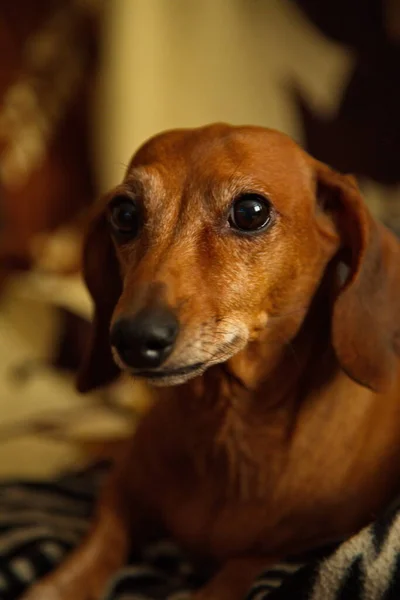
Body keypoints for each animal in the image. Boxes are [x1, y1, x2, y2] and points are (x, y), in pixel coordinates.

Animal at [22, 124, 400, 596]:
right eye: (124, 213)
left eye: (251, 212)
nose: (135, 338)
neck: (226, 428)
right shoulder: (120, 496)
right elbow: (90, 553)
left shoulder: (294, 548)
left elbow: (232, 575)